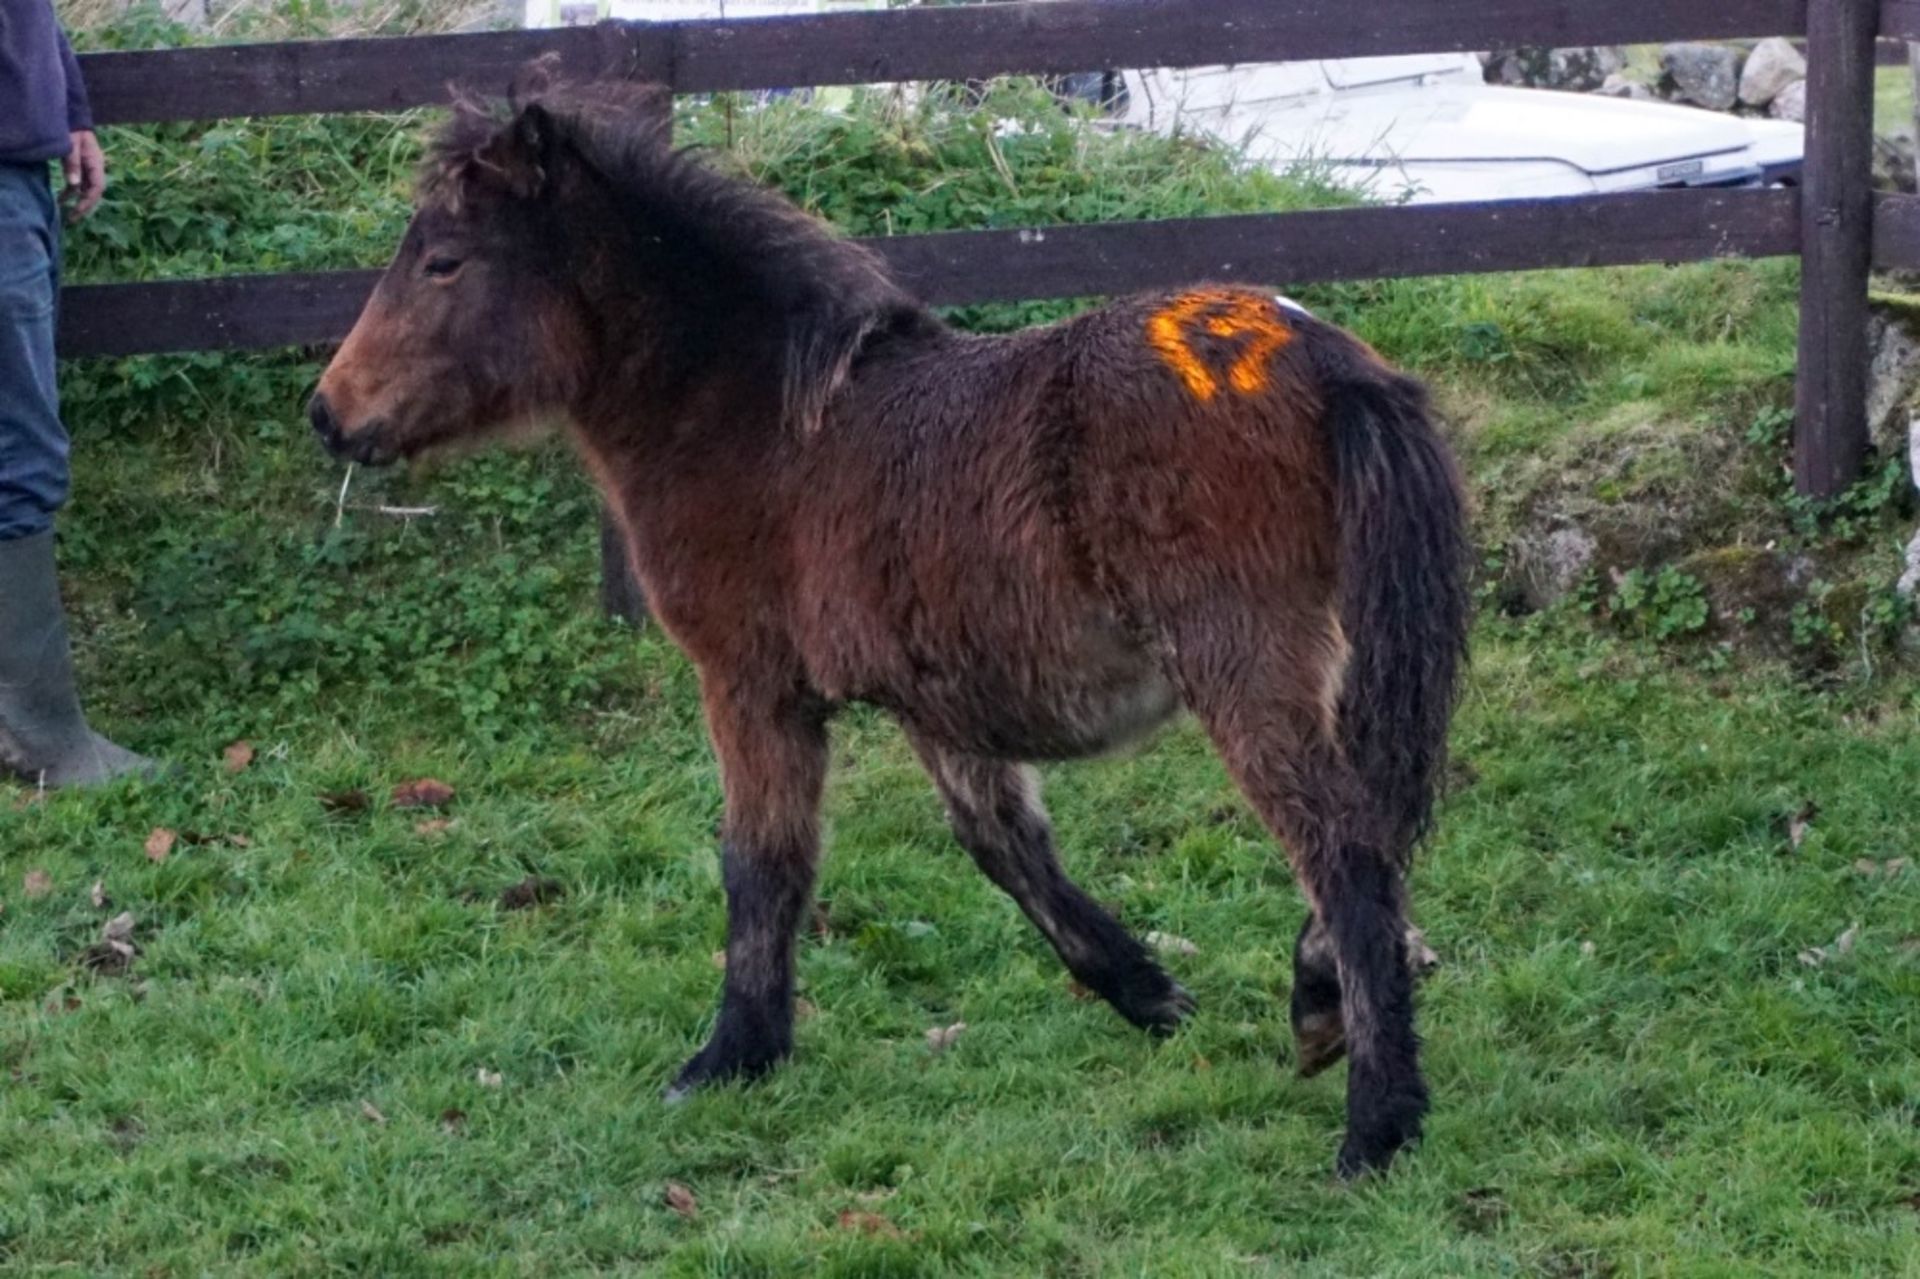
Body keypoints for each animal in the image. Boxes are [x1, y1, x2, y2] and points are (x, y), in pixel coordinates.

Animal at [311, 64, 1466, 1167]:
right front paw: (1151, 992)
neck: (759, 425)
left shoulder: (751, 681)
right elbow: (1005, 845)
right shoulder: (935, 698)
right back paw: (1320, 1002)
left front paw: (732, 1055)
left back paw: (1376, 1120)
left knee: (1346, 849)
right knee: (1374, 825)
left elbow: (763, 861)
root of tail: (1324, 357)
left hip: (1242, 662)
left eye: (444, 261)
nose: (330, 412)